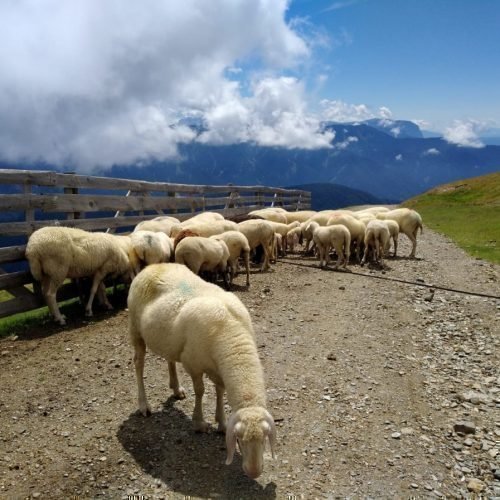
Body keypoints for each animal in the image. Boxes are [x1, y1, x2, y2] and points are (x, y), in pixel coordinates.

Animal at [128, 262, 278, 476]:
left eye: (265, 438)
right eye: (239, 440)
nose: (254, 472)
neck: (230, 331)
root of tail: (153, 266)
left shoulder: (218, 368)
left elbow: (220, 391)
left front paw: (221, 422)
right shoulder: (193, 363)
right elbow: (200, 391)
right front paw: (199, 423)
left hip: (168, 339)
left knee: (169, 359)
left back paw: (176, 388)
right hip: (135, 330)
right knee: (138, 364)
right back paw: (144, 405)